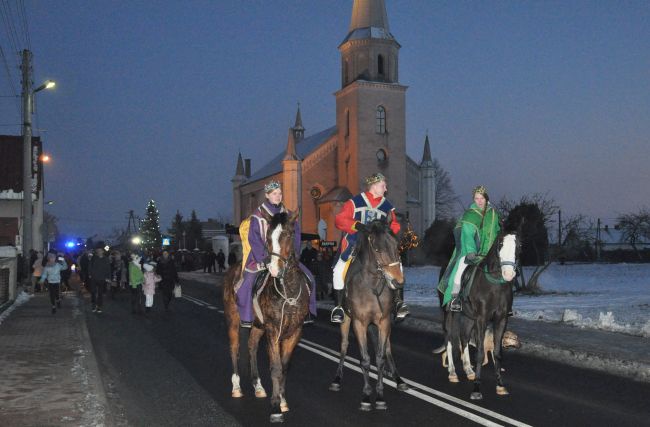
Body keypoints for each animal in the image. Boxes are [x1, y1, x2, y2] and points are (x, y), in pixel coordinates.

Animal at [223, 209, 312, 422]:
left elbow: (285, 368)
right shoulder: (273, 331)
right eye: (268, 237)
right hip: (233, 321)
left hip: (257, 326)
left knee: (252, 347)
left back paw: (258, 386)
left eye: (288, 234)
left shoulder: (294, 332)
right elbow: (276, 367)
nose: (273, 269)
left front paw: (283, 400)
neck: (288, 291)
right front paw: (276, 407)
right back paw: (236, 387)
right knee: (234, 348)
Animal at [326, 219, 408, 412]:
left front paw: (380, 396)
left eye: (397, 246)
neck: (371, 285)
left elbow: (380, 357)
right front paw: (366, 396)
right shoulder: (359, 323)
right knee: (344, 346)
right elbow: (364, 360)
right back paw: (337, 379)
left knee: (387, 348)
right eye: (377, 249)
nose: (398, 282)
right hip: (347, 321)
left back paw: (398, 379)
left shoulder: (384, 322)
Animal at [440, 217, 520, 402]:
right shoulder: (482, 319)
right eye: (500, 244)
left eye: (519, 244)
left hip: (469, 318)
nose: (508, 274)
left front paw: (500, 385)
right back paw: (453, 373)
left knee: (463, 338)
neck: (494, 285)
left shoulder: (501, 320)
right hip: (449, 314)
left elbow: (497, 353)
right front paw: (477, 388)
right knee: (449, 340)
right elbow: (480, 352)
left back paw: (468, 370)